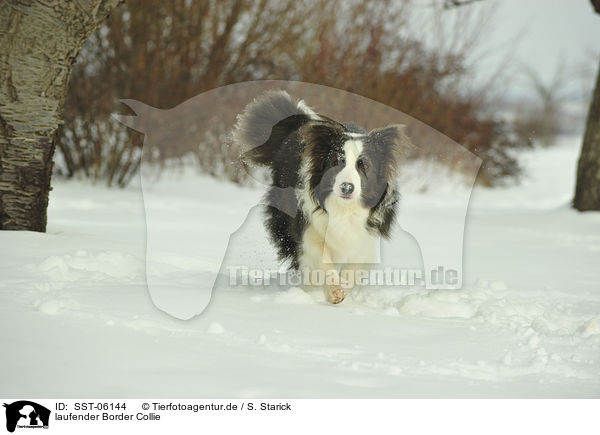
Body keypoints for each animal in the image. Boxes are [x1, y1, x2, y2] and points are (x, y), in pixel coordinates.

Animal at [234, 91, 412, 304]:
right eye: (337, 162)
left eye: (364, 166)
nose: (346, 187)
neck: (343, 207)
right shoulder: (309, 220)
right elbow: (318, 254)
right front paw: (334, 292)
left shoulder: (367, 230)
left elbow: (356, 262)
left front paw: (344, 290)